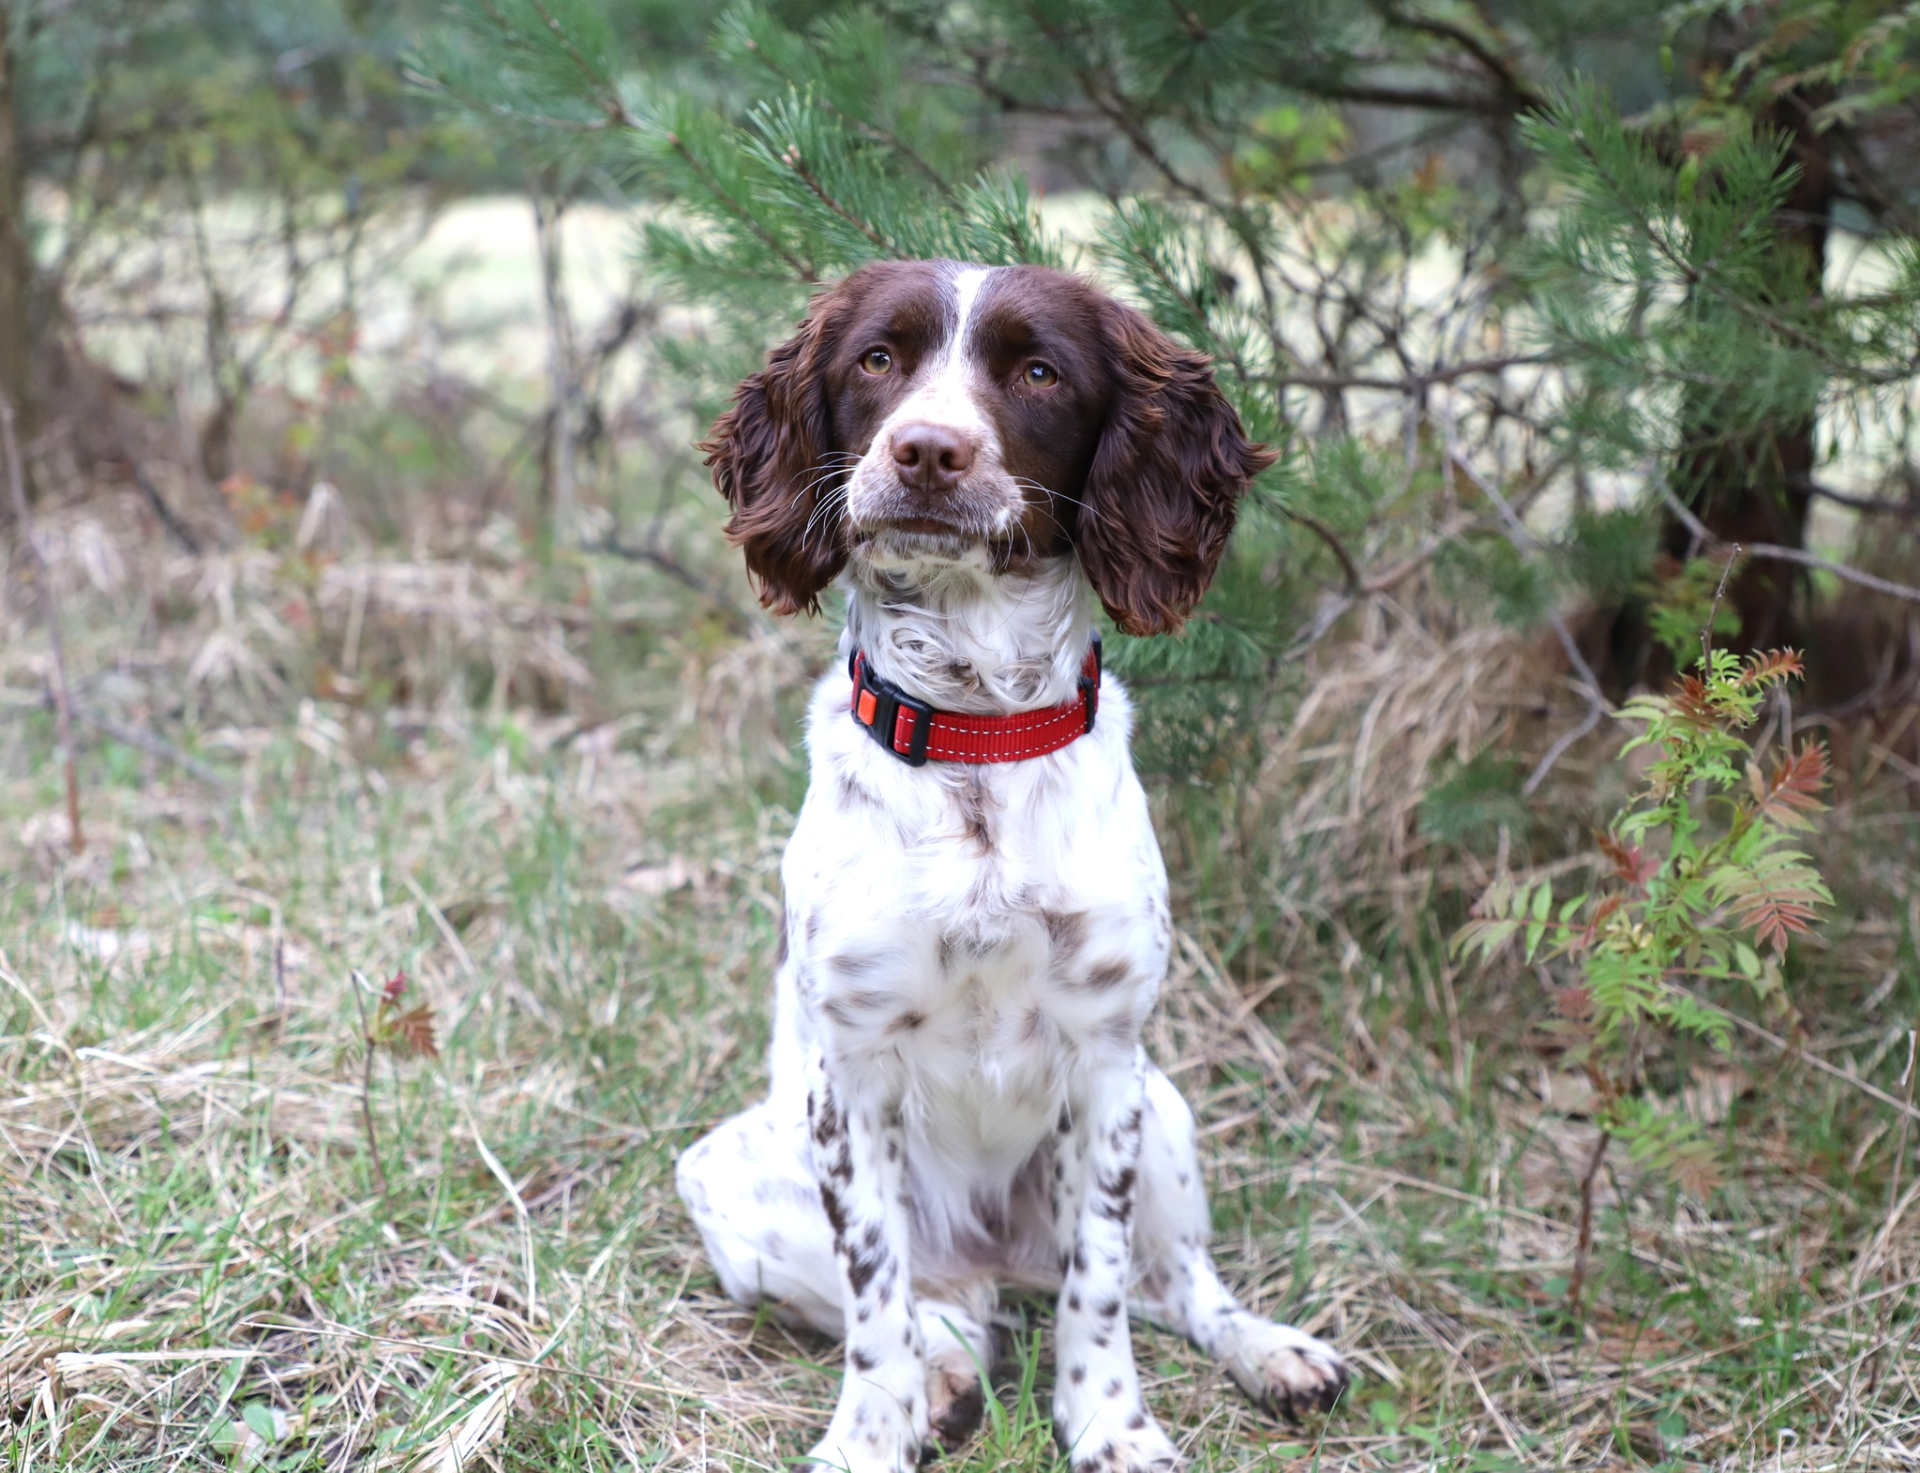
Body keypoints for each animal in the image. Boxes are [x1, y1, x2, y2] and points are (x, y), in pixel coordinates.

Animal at [675, 265, 1351, 1473]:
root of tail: (997, 1258)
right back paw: (941, 1381)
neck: (975, 737)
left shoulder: (1108, 1058)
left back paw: (1272, 1351)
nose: (927, 452)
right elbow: (874, 1293)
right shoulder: (850, 1075)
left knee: (1179, 1287)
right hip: (726, 1172)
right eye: (877, 360)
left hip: (1166, 1110)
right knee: (945, 1308)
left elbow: (1102, 1285)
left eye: (1039, 371)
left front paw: (1112, 1426)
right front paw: (870, 1434)